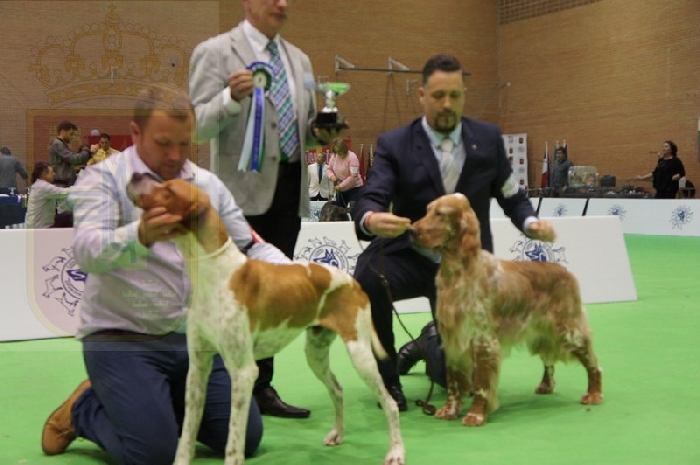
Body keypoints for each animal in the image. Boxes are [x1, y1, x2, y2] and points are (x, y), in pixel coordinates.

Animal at [127, 174, 404, 465]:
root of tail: (353, 281)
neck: (214, 273)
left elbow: (234, 441)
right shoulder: (198, 368)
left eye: (168, 190)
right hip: (315, 353)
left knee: (390, 404)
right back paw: (337, 433)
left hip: (360, 354)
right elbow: (188, 435)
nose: (135, 175)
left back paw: (396, 452)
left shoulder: (243, 372)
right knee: (337, 389)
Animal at [411, 193, 603, 427]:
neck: (459, 272)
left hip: (569, 330)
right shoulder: (453, 339)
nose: (411, 231)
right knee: (548, 359)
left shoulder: (482, 340)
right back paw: (546, 385)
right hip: (542, 333)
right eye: (428, 210)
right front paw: (449, 410)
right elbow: (454, 381)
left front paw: (475, 415)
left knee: (593, 364)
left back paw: (594, 394)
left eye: (440, 214)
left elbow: (481, 385)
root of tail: (563, 270)